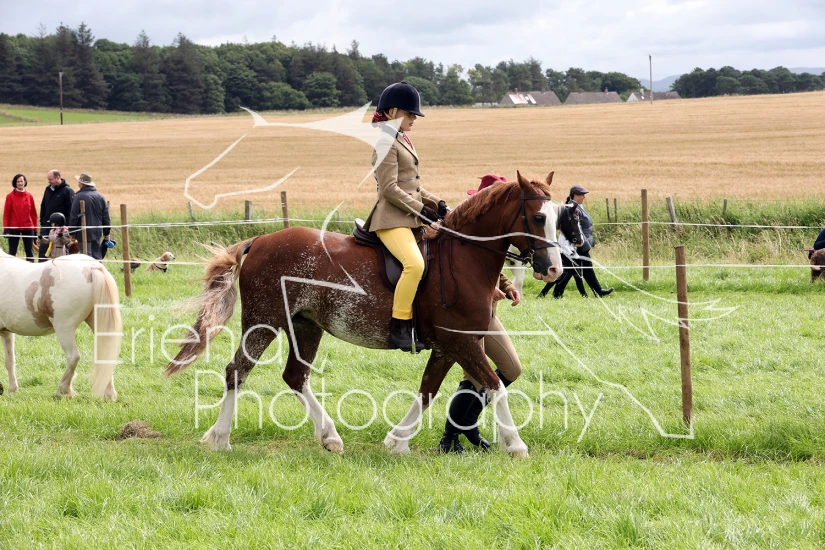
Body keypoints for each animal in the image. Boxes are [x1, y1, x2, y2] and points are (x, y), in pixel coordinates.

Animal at [0, 252, 121, 399]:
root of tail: (91, 267)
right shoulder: (6, 332)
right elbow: (10, 361)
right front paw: (12, 390)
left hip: (64, 329)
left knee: (73, 357)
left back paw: (63, 390)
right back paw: (109, 394)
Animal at [165, 171, 564, 458]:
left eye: (557, 217)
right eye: (538, 216)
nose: (553, 269)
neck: (465, 257)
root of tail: (260, 240)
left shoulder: (448, 347)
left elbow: (429, 391)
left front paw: (397, 441)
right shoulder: (460, 343)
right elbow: (496, 386)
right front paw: (516, 445)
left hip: (305, 326)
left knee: (295, 376)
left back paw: (329, 437)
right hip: (264, 321)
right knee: (237, 371)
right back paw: (220, 438)